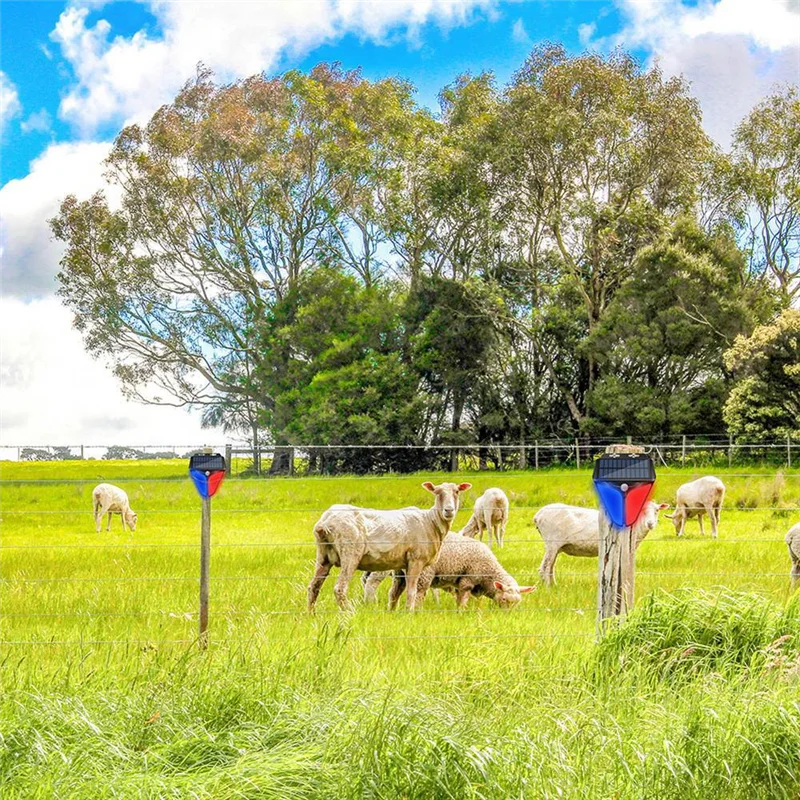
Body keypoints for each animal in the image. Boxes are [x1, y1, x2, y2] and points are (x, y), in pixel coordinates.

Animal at [304, 482, 468, 612]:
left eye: (457, 491)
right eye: (437, 492)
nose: (449, 510)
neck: (430, 521)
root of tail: (325, 521)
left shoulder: (402, 565)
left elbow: (397, 591)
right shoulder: (416, 560)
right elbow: (412, 591)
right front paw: (410, 613)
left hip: (323, 555)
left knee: (313, 587)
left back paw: (311, 614)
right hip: (350, 552)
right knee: (340, 588)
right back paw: (350, 612)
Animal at [536, 500, 668, 588]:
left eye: (657, 511)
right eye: (642, 511)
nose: (650, 523)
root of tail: (538, 516)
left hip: (555, 546)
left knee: (550, 567)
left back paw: (554, 585)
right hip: (552, 543)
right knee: (545, 567)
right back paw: (548, 588)